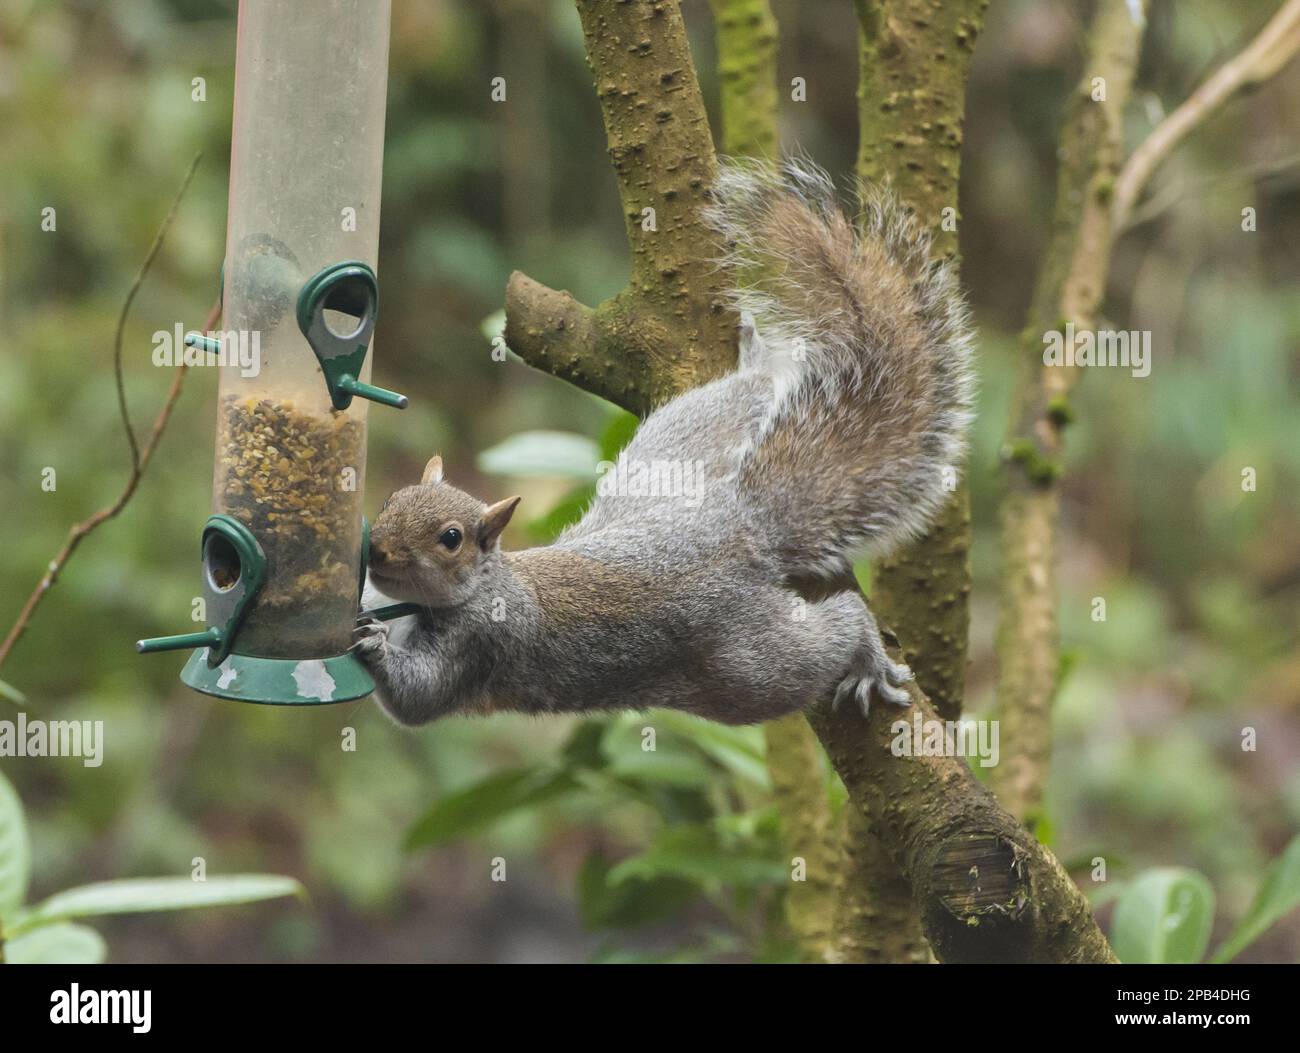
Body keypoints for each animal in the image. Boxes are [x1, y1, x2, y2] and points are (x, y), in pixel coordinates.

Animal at [356, 157, 977, 722]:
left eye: (451, 538)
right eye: (388, 501)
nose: (376, 549)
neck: (483, 583)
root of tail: (738, 522)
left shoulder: (482, 641)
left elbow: (417, 698)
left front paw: (372, 647)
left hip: (751, 668)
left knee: (834, 629)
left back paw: (868, 656)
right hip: (671, 450)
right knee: (743, 394)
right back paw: (757, 362)